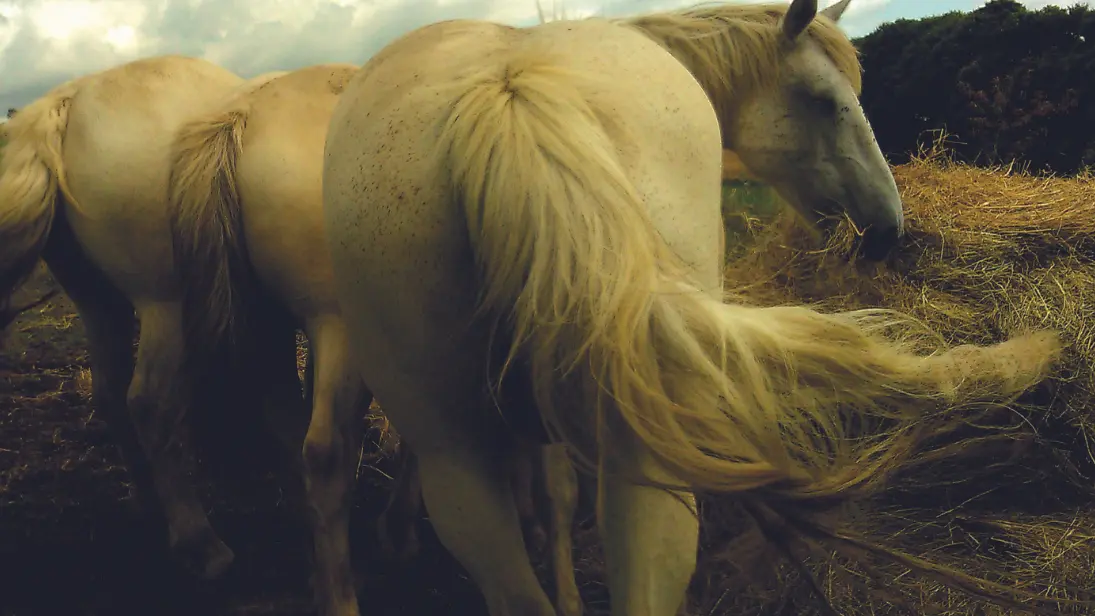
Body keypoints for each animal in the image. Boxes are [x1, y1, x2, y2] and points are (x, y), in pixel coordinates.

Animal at [0, 55, 300, 582]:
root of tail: (71, 97)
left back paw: (150, 507)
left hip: (100, 304)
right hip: (166, 306)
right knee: (150, 404)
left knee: (111, 394)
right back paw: (201, 544)